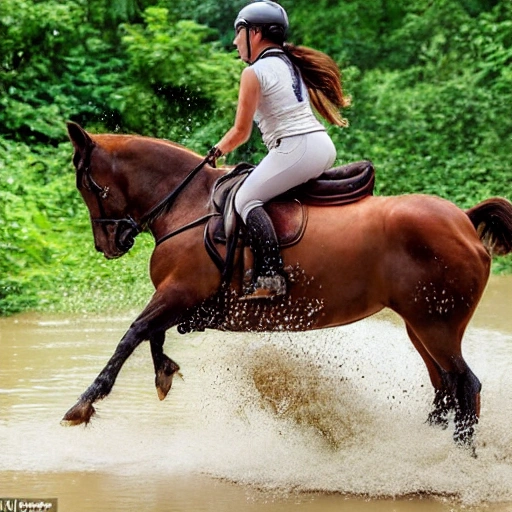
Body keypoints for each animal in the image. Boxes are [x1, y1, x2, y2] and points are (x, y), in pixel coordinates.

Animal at [63, 121, 512, 448]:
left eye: (86, 185)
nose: (107, 245)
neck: (185, 205)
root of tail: (464, 219)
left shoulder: (179, 292)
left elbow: (133, 333)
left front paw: (84, 403)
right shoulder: (184, 300)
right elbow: (151, 333)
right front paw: (164, 373)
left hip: (436, 324)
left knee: (465, 385)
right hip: (421, 324)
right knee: (445, 386)